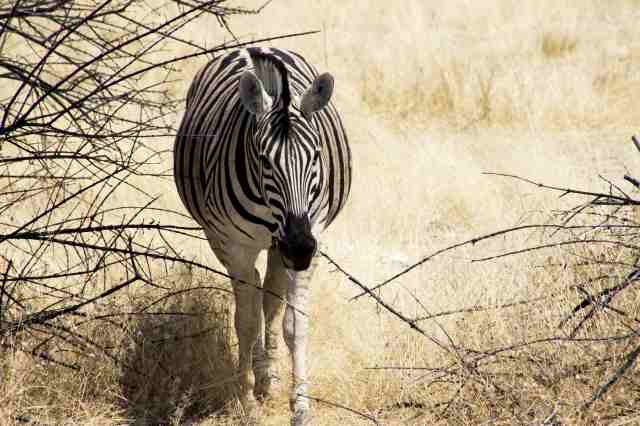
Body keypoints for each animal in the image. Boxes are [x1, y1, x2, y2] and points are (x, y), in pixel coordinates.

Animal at [173, 47, 352, 425]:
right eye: (264, 161)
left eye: (316, 156)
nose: (298, 247)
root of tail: (257, 47)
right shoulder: (236, 245)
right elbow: (245, 322)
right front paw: (246, 403)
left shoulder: (313, 236)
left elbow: (294, 323)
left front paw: (300, 405)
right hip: (227, 240)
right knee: (254, 292)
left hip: (277, 247)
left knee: (269, 295)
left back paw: (268, 375)